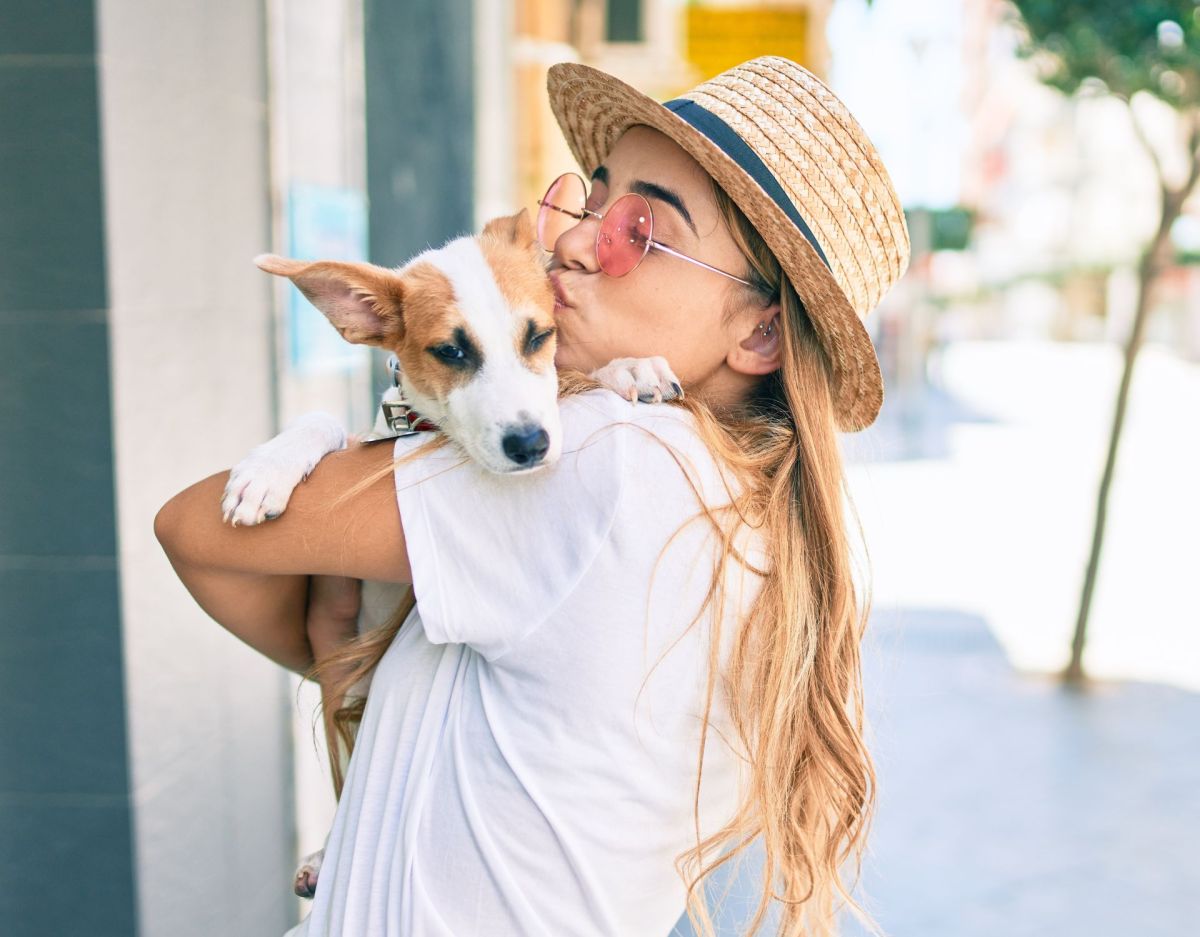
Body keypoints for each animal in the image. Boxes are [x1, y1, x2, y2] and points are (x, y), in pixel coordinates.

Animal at [217, 208, 681, 897]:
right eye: (452, 352)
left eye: (539, 337)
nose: (530, 445)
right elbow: (323, 419)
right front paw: (265, 469)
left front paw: (628, 368)